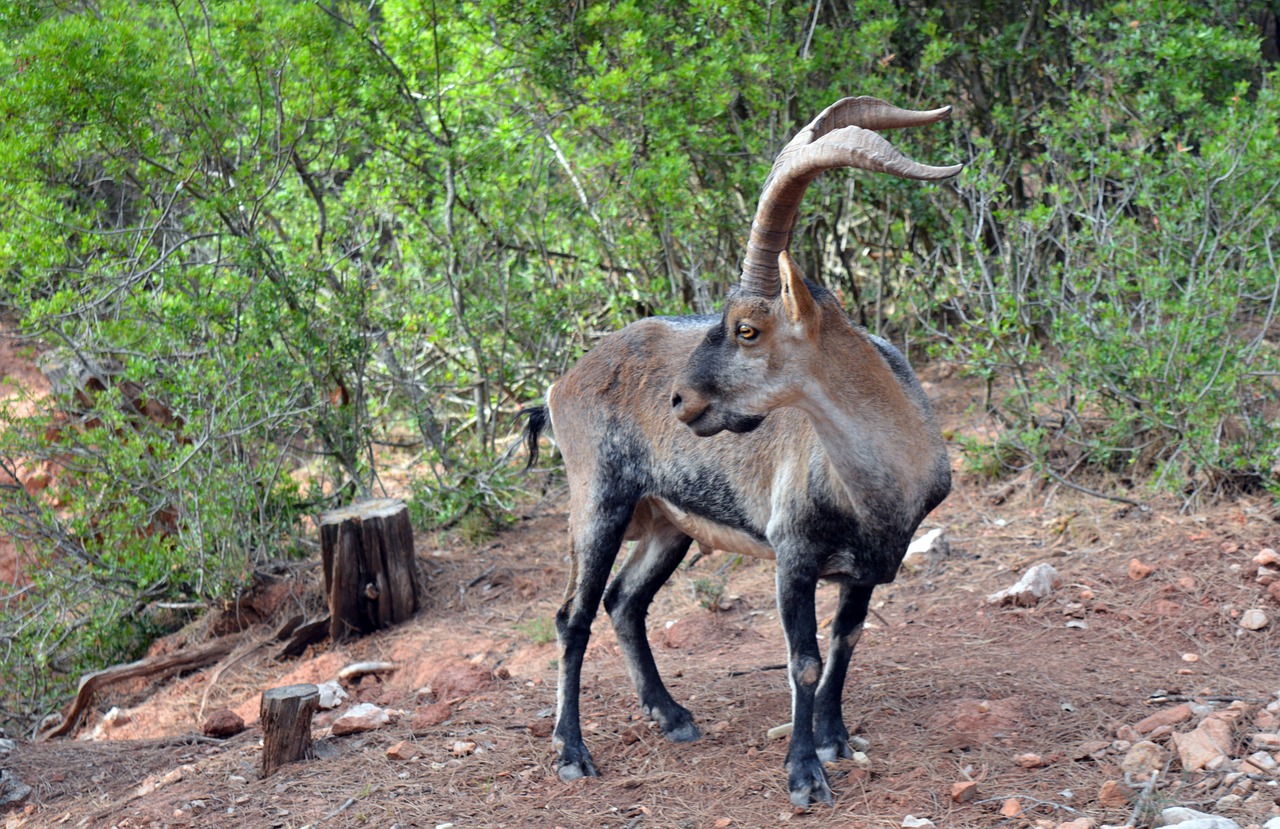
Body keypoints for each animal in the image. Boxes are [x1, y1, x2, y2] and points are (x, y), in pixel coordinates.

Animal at [519, 95, 962, 803]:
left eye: (746, 329)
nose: (679, 400)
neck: (882, 474)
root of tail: (559, 386)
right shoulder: (794, 554)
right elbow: (803, 660)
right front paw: (804, 774)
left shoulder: (866, 567)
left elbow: (846, 643)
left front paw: (835, 739)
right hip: (599, 502)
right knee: (572, 615)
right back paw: (571, 752)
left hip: (668, 524)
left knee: (625, 601)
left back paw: (672, 715)